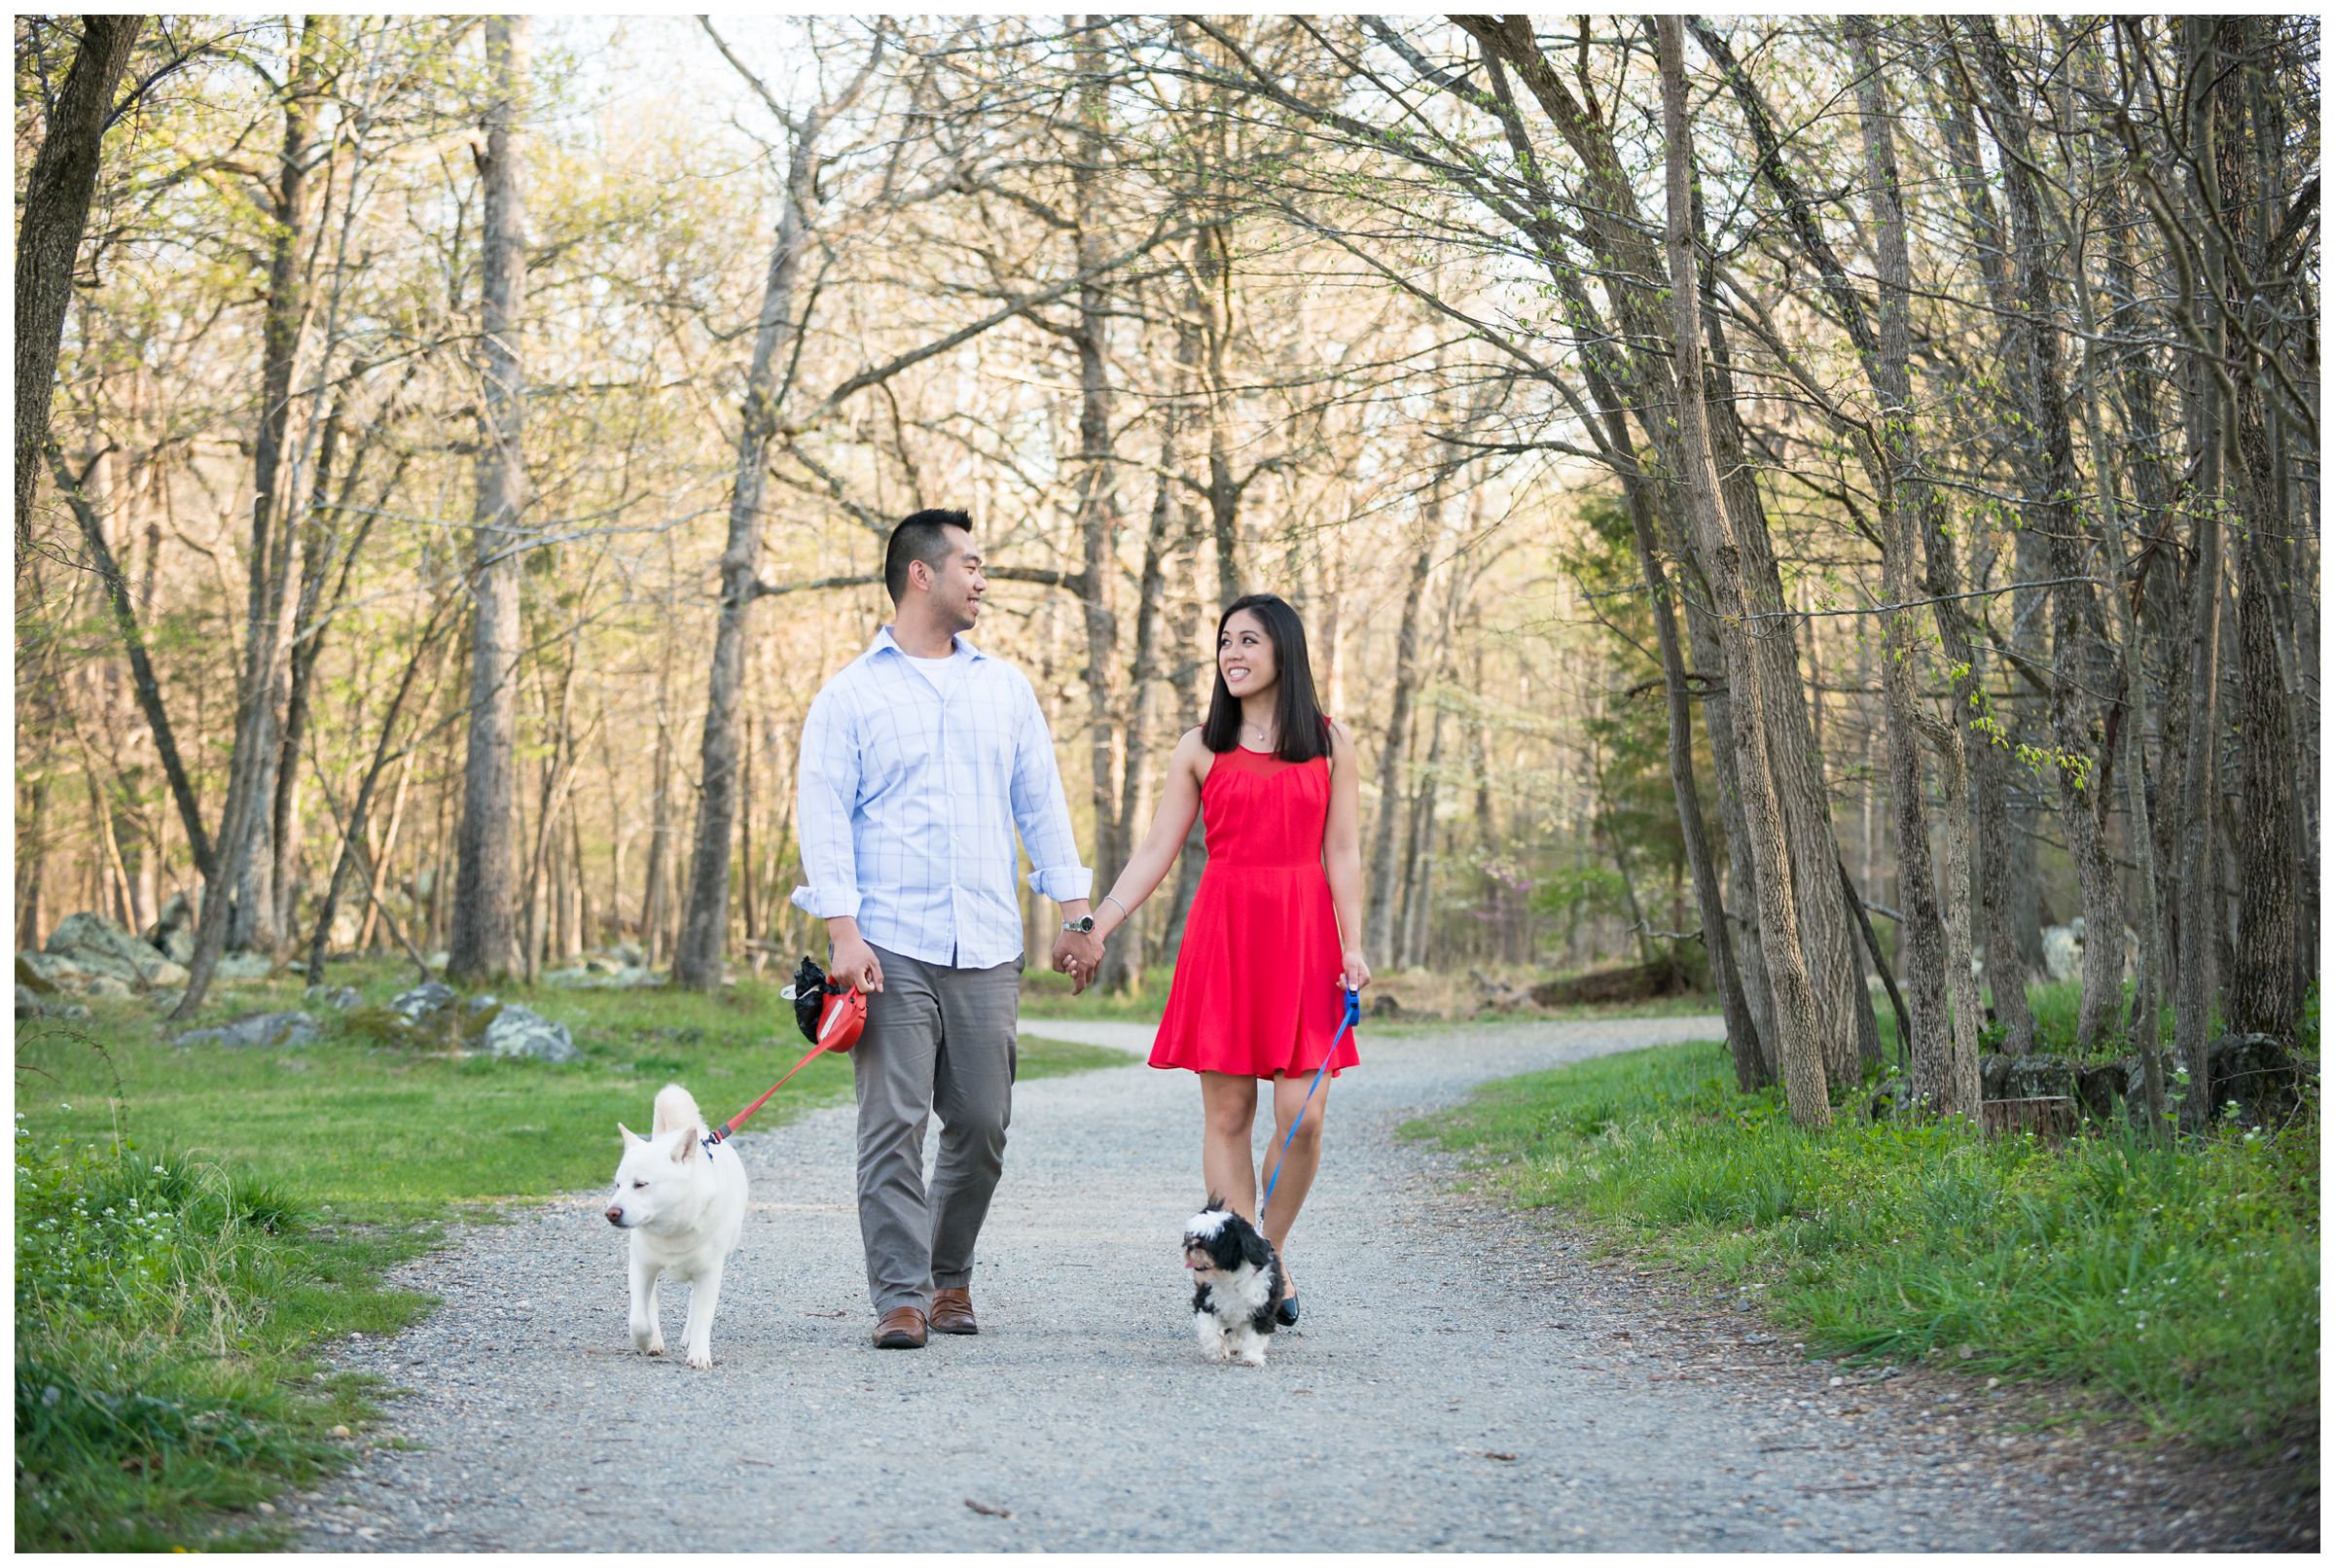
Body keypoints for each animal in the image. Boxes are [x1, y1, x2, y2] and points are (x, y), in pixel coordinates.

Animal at [607, 1083, 742, 1362]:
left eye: (641, 1184)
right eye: (617, 1185)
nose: (611, 1213)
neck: (672, 1228)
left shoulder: (710, 1272)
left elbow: (703, 1315)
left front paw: (699, 1354)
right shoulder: (641, 1267)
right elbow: (639, 1319)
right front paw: (648, 1341)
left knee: (694, 1303)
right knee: (650, 1303)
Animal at [1176, 1194, 1288, 1362]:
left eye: (1208, 1242)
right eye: (1191, 1237)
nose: (1190, 1246)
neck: (1229, 1278)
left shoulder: (1262, 1308)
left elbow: (1256, 1336)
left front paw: (1252, 1358)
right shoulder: (1207, 1301)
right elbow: (1209, 1331)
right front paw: (1217, 1351)